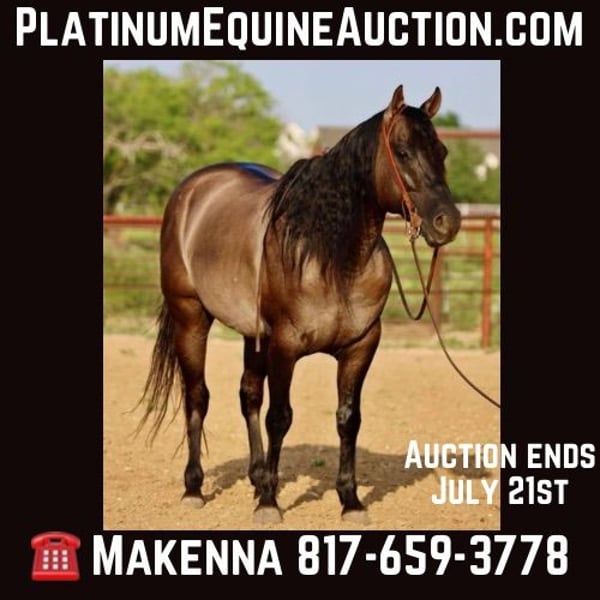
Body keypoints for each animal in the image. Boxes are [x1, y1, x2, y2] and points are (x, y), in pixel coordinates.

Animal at [139, 84, 461, 524]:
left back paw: (257, 477)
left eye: (442, 151)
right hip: (191, 318)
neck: (332, 256)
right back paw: (195, 488)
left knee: (248, 396)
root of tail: (190, 191)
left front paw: (350, 501)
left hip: (252, 334)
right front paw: (270, 504)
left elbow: (348, 419)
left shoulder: (361, 347)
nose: (448, 222)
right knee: (198, 397)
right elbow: (280, 417)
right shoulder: (285, 346)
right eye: (403, 151)